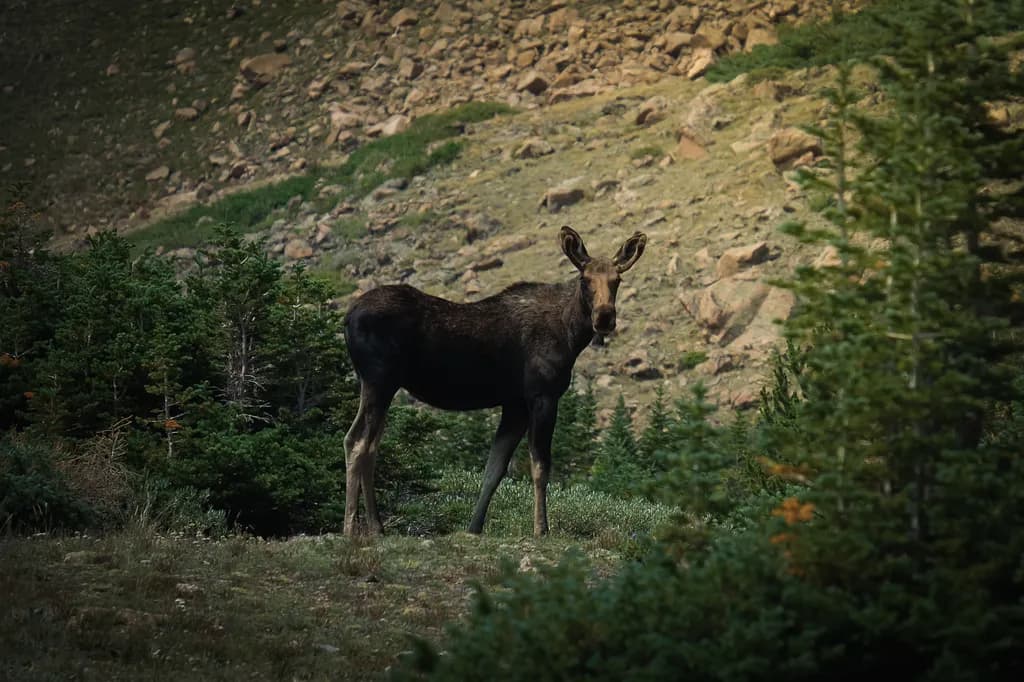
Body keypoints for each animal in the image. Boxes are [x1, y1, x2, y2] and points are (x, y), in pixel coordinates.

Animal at [341, 226, 647, 537]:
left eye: (617, 280)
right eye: (584, 279)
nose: (604, 317)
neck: (571, 335)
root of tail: (347, 317)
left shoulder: (515, 404)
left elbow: (494, 469)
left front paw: (474, 527)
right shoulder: (542, 396)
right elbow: (540, 466)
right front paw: (541, 528)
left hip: (381, 385)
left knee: (371, 446)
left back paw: (377, 526)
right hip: (379, 380)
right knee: (356, 441)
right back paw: (351, 528)